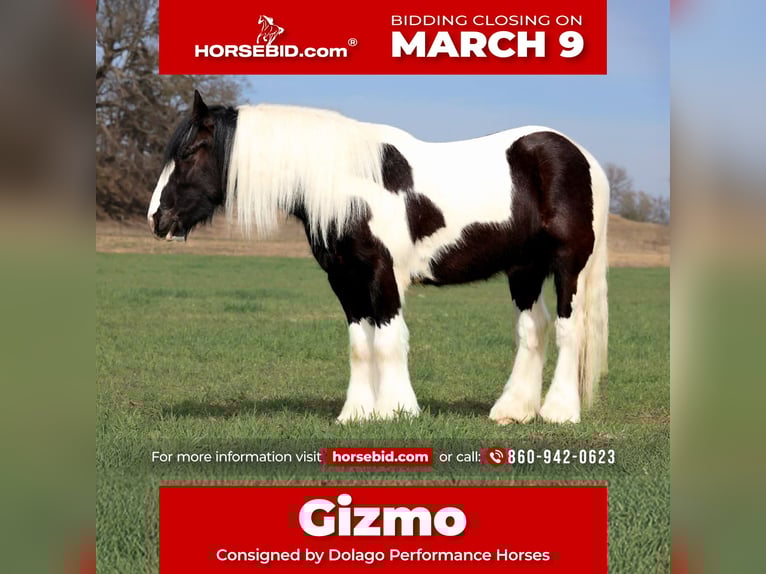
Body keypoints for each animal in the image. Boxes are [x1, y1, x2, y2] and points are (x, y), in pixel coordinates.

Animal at [148, 91, 609, 424]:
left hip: (568, 266)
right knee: (533, 328)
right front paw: (356, 413)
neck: (352, 184)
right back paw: (513, 411)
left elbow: (388, 339)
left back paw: (558, 412)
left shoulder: (384, 274)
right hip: (524, 269)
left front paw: (397, 410)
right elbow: (360, 344)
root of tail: (582, 155)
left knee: (568, 328)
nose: (157, 218)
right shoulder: (344, 279)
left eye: (187, 154)